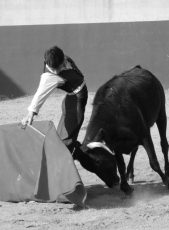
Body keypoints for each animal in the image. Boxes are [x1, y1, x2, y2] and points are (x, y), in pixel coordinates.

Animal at [74, 65, 169, 195]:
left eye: (98, 161)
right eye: (91, 168)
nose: (113, 183)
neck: (114, 115)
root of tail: (139, 68)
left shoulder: (144, 134)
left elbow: (153, 161)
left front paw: (166, 180)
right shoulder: (115, 144)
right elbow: (121, 165)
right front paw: (126, 187)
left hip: (161, 114)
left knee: (164, 144)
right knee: (134, 150)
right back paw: (130, 174)